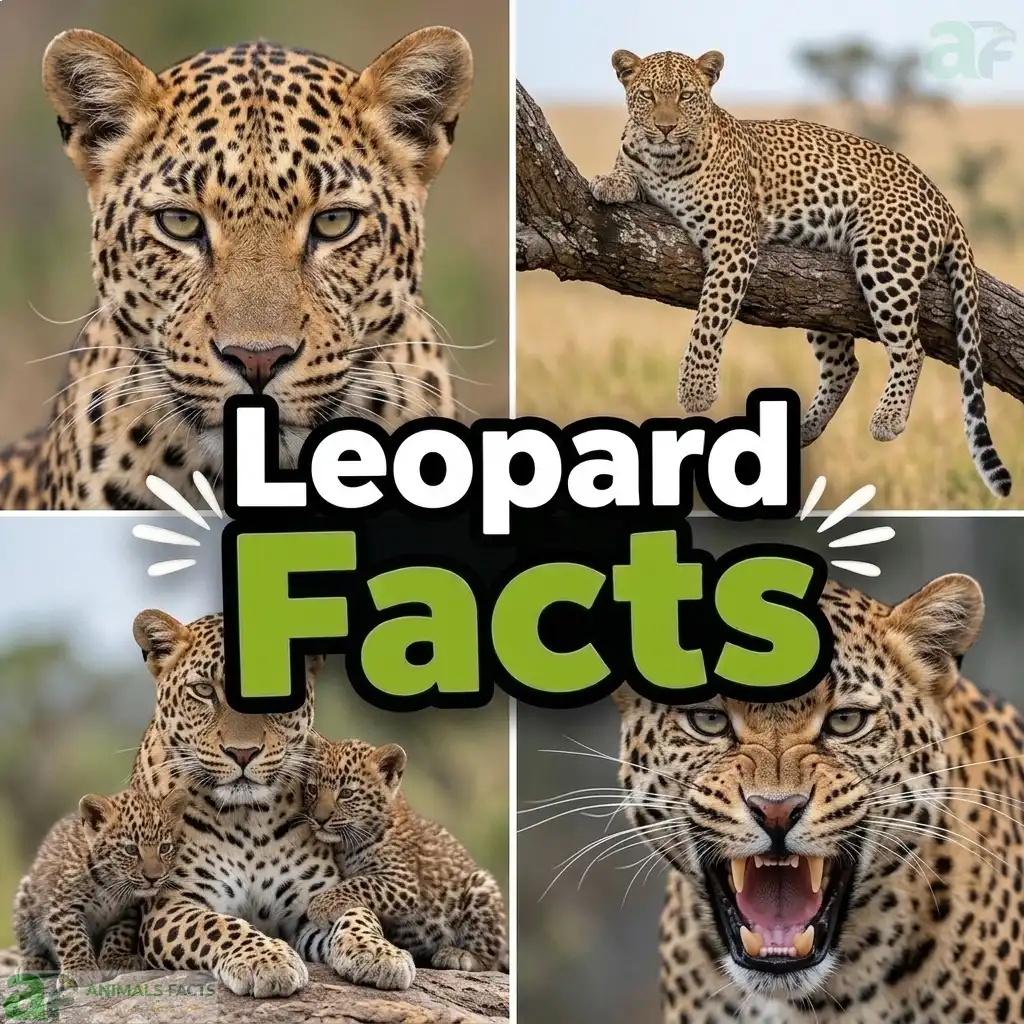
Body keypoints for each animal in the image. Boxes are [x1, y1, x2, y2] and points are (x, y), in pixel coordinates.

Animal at [13, 783, 188, 980]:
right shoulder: (63, 905)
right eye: (131, 850)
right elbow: (72, 937)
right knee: (28, 943)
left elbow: (120, 933)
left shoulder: (130, 911)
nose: (153, 878)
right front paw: (80, 970)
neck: (109, 884)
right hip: (25, 899)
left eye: (165, 848)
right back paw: (32, 964)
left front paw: (116, 960)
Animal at [127, 608, 417, 997]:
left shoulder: (310, 903)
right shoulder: (170, 905)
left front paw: (378, 952)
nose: (243, 752)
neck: (246, 819)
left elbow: (356, 911)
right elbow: (220, 926)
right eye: (203, 691)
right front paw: (266, 960)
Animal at [303, 736, 508, 972]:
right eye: (312, 789)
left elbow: (362, 882)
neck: (346, 845)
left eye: (346, 793)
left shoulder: (404, 882)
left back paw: (459, 955)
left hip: (481, 886)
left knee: (490, 958)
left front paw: (320, 905)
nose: (319, 819)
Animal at [590, 47, 1011, 499]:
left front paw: (696, 390)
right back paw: (805, 428)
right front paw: (608, 181)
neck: (665, 163)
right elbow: (625, 170)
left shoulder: (734, 241)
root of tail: (943, 200)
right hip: (820, 299)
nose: (665, 128)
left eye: (686, 96)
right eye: (647, 96)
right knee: (845, 365)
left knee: (910, 348)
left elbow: (709, 319)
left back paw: (889, 418)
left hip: (885, 262)